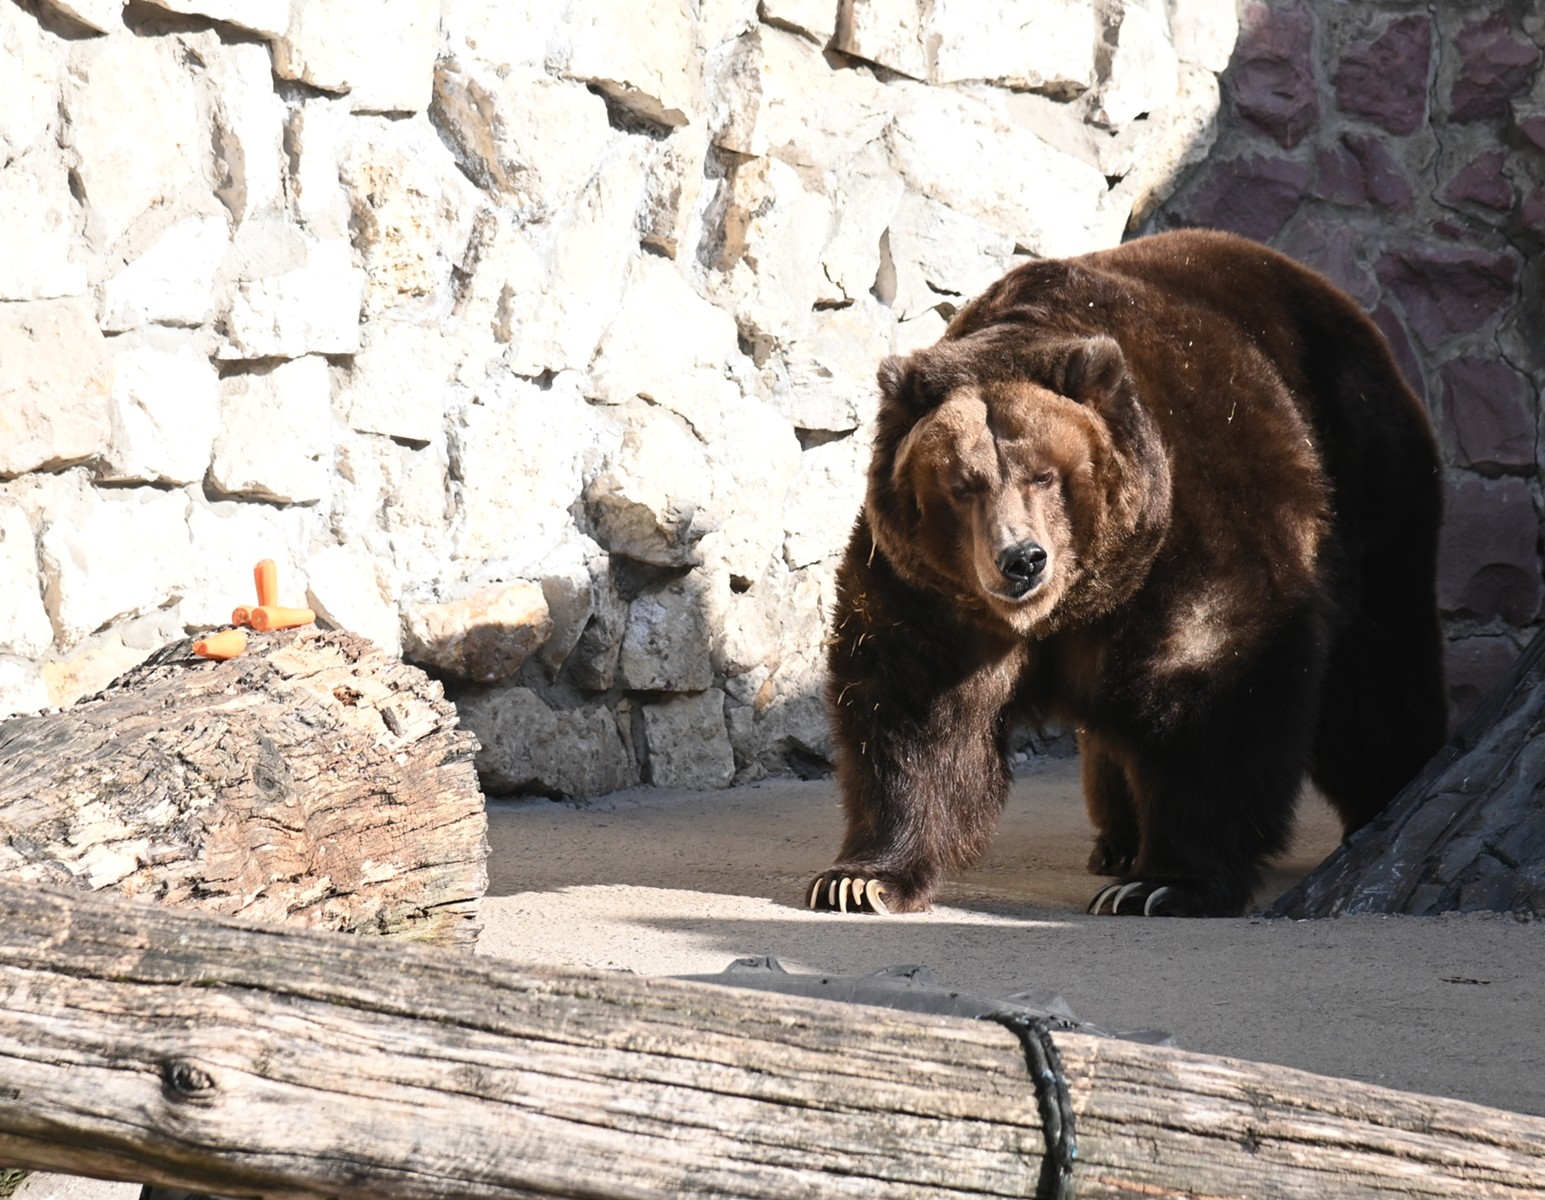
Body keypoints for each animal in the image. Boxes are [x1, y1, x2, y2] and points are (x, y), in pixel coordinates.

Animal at [809, 227, 1446, 920]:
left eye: (1043, 474)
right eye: (963, 485)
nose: (1022, 559)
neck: (1078, 601)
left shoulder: (1194, 535)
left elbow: (1212, 690)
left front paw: (1162, 884)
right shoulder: (931, 594)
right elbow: (915, 714)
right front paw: (861, 878)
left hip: (1364, 481)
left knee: (1375, 673)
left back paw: (1388, 798)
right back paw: (1116, 841)